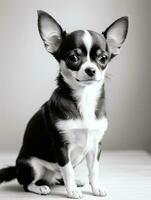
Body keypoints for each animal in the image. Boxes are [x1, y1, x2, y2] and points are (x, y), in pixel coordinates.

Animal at [0, 10, 128, 198]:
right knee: (27, 183)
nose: (91, 70)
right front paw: (72, 191)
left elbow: (94, 170)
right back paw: (41, 187)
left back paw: (69, 181)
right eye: (73, 58)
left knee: (58, 176)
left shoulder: (95, 146)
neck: (85, 98)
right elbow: (68, 170)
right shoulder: (61, 147)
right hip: (31, 165)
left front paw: (96, 187)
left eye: (103, 58)